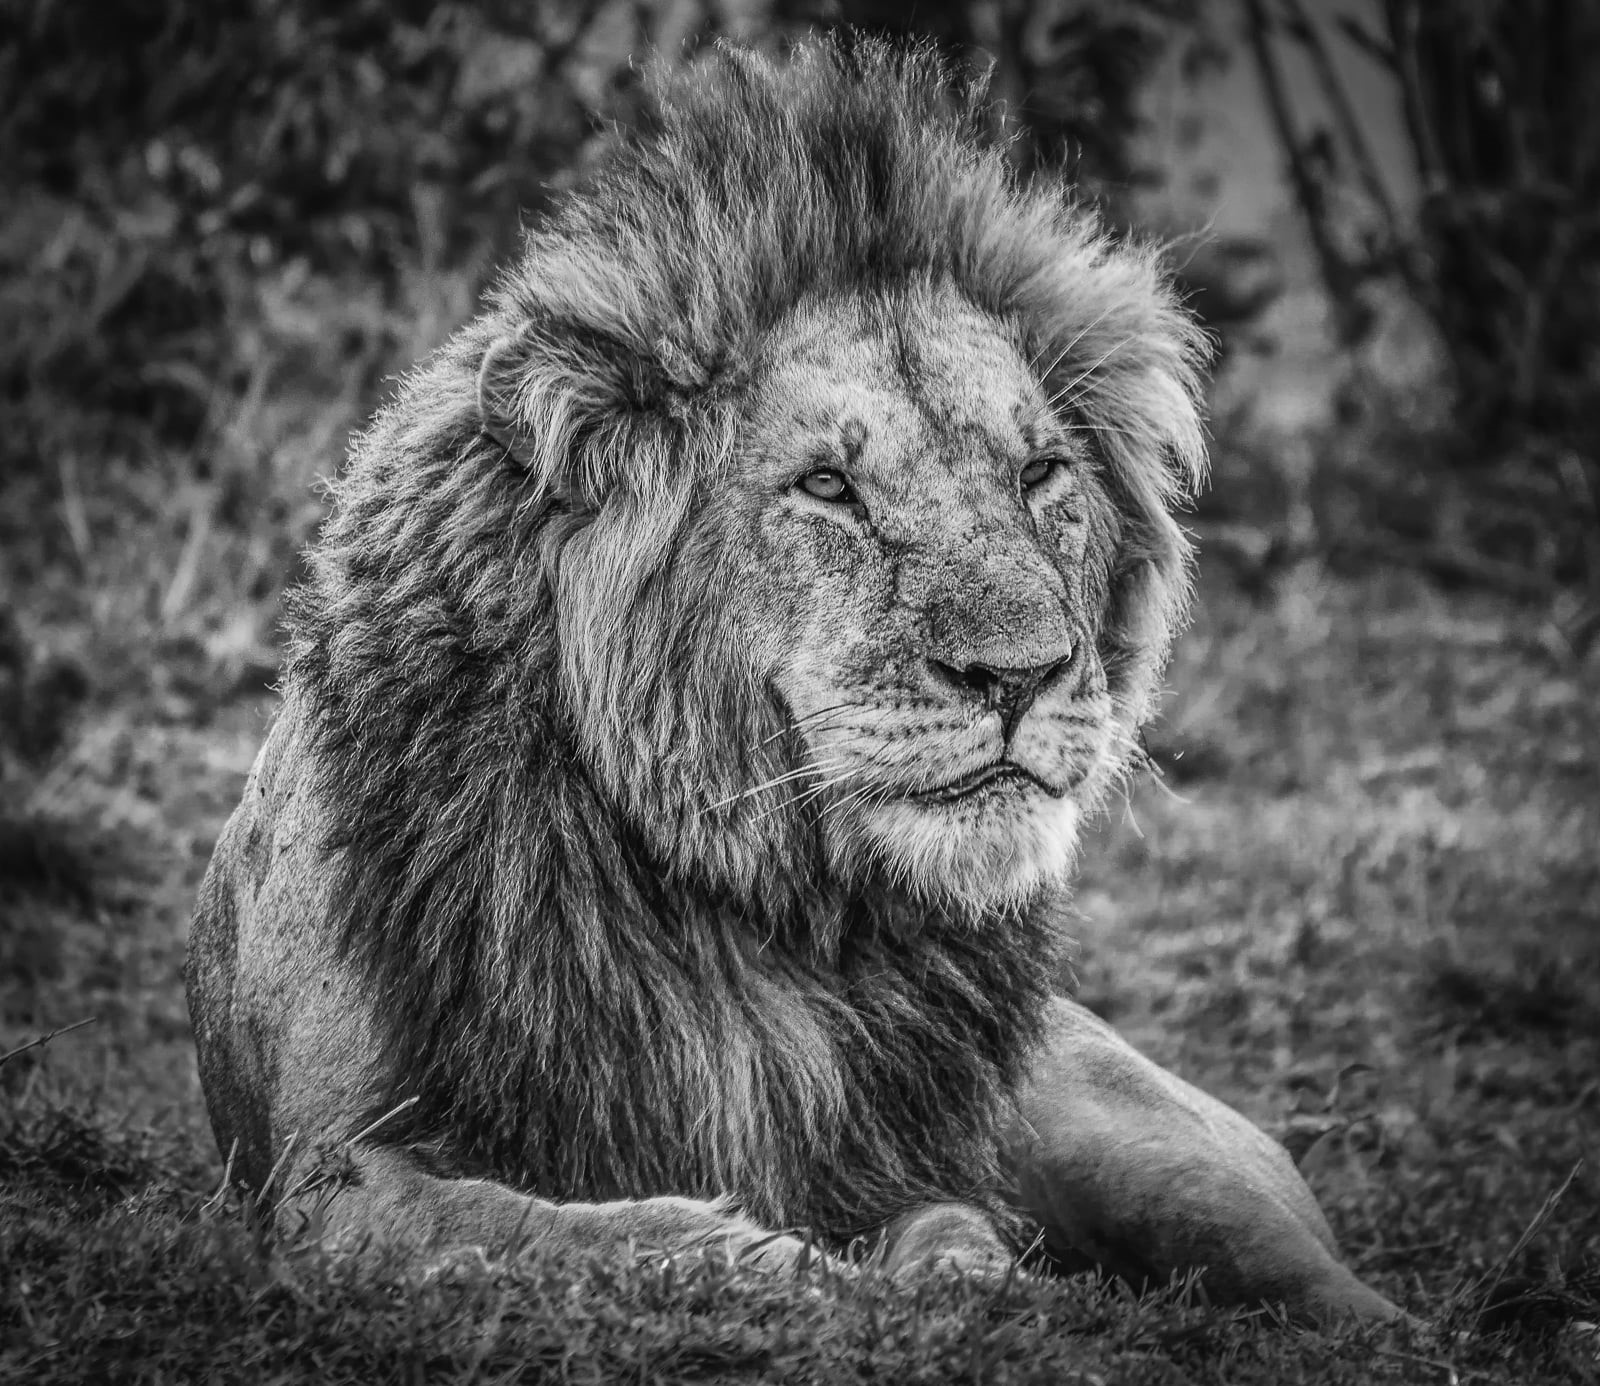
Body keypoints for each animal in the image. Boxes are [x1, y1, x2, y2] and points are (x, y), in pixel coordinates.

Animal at [186, 35, 1403, 1323]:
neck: (748, 894)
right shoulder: (328, 1176)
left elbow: (915, 1214)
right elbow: (570, 1229)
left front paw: (945, 1265)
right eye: (826, 488)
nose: (1020, 675)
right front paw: (800, 1266)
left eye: (1039, 475)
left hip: (1144, 1147)